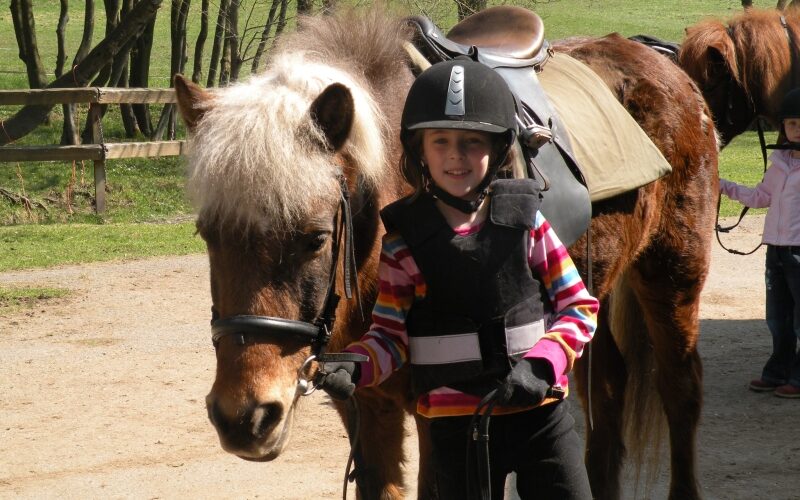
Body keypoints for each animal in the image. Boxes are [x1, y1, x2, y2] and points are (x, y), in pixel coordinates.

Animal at [174, 7, 718, 500]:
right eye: (207, 234)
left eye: (315, 238)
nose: (244, 418)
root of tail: (661, 62)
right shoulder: (363, 404)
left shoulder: (437, 419)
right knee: (605, 399)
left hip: (672, 275)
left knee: (681, 388)